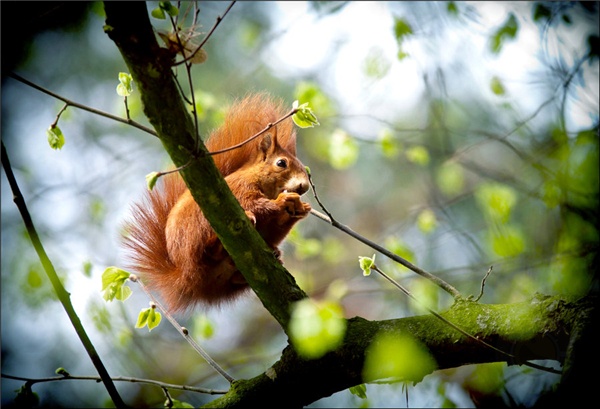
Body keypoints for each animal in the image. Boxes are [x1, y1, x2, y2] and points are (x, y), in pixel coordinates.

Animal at [120, 94, 312, 312]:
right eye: (281, 163)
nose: (304, 186)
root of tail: (186, 275)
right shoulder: (239, 189)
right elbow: (255, 205)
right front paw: (283, 201)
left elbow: (275, 226)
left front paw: (300, 209)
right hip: (200, 226)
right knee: (208, 249)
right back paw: (221, 241)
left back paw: (273, 254)